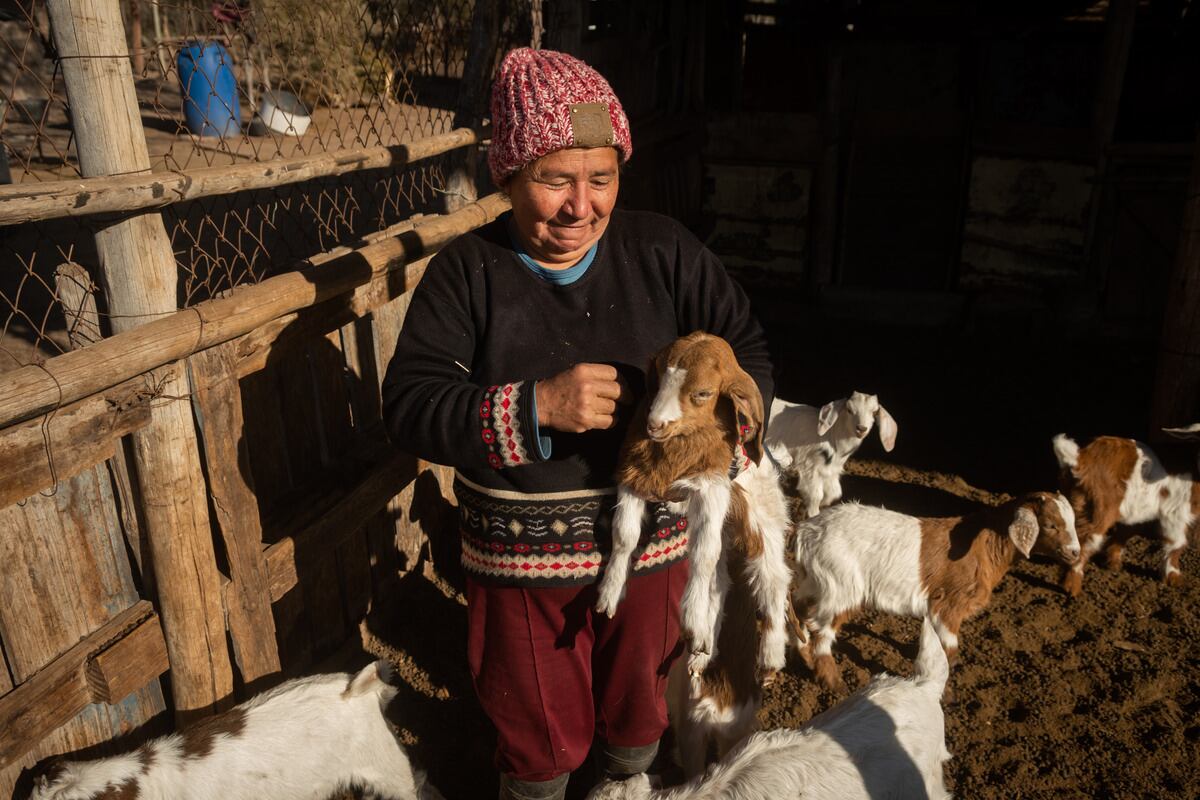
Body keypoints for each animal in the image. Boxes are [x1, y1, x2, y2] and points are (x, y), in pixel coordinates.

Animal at [763, 393, 897, 520]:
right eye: (849, 410)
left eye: (874, 412)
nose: (861, 428)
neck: (832, 436)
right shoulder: (810, 465)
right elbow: (816, 495)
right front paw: (813, 514)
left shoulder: (829, 470)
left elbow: (834, 492)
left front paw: (806, 508)